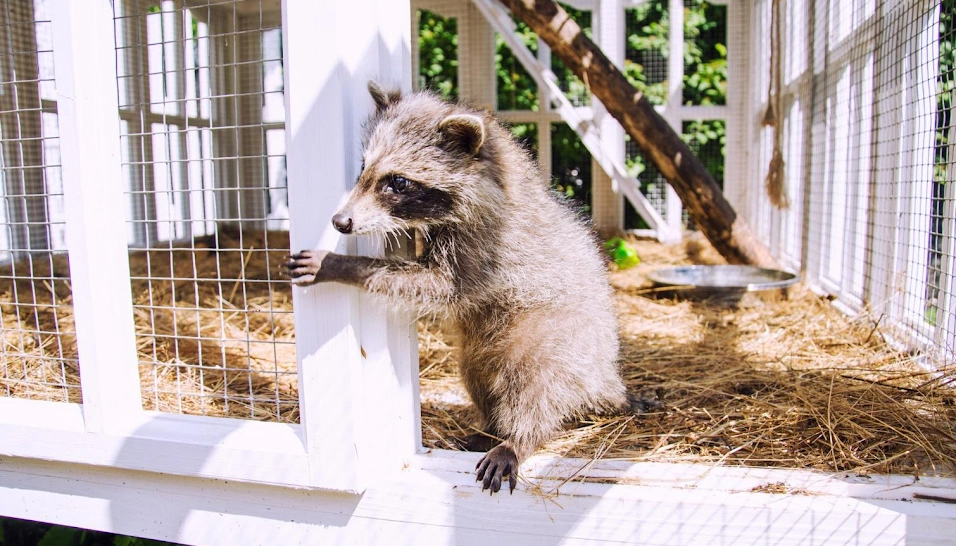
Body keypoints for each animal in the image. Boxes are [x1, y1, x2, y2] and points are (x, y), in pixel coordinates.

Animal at [288, 81, 632, 492]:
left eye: (398, 182)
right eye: (364, 168)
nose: (341, 221)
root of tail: (604, 375)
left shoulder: (489, 244)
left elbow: (436, 286)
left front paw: (342, 265)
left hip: (559, 339)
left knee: (535, 385)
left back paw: (517, 438)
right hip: (485, 349)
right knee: (477, 373)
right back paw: (491, 428)